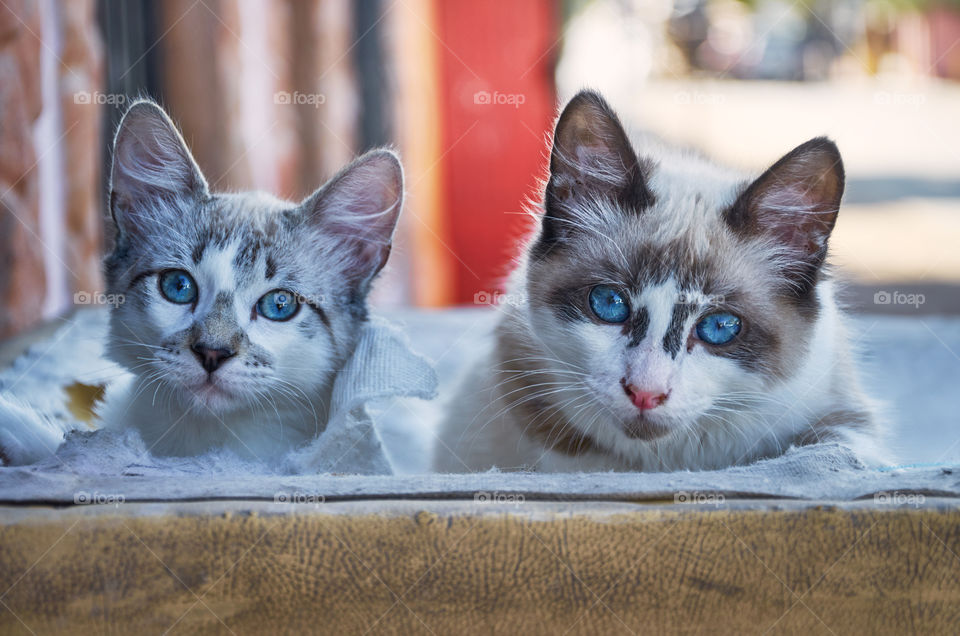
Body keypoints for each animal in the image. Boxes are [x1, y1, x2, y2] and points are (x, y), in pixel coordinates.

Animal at [436, 89, 884, 472]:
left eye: (719, 327)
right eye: (609, 304)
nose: (645, 393)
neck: (664, 464)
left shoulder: (842, 417)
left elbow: (827, 450)